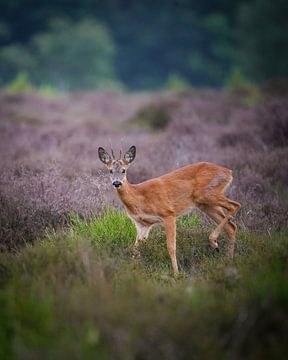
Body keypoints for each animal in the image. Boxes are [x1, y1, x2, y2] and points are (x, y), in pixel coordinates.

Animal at [99, 145, 241, 274]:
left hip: (207, 194)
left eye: (124, 170)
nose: (117, 183)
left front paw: (176, 274)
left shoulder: (168, 214)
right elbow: (135, 249)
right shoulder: (142, 224)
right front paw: (132, 271)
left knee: (235, 205)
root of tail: (228, 172)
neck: (139, 197)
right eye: (110, 170)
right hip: (205, 204)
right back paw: (228, 261)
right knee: (231, 226)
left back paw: (214, 244)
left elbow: (171, 247)